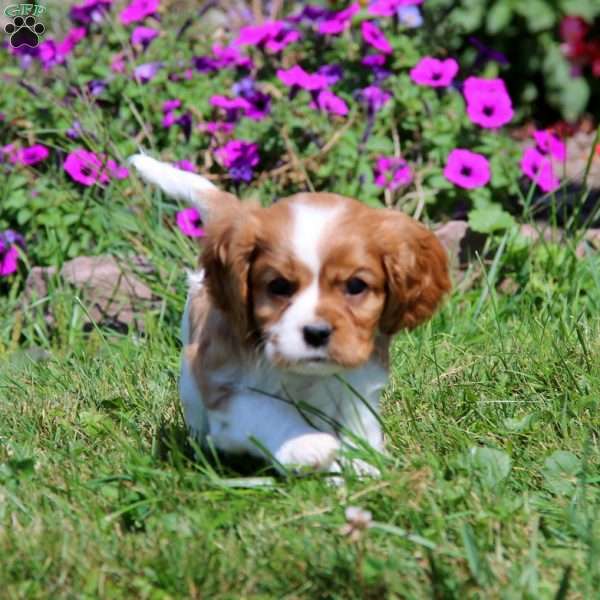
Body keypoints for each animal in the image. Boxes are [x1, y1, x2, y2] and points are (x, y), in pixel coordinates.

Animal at [131, 156, 450, 478]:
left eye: (355, 286)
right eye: (279, 286)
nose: (316, 333)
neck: (304, 376)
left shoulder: (359, 383)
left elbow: (358, 424)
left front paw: (361, 467)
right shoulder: (221, 385)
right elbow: (266, 409)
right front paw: (306, 444)